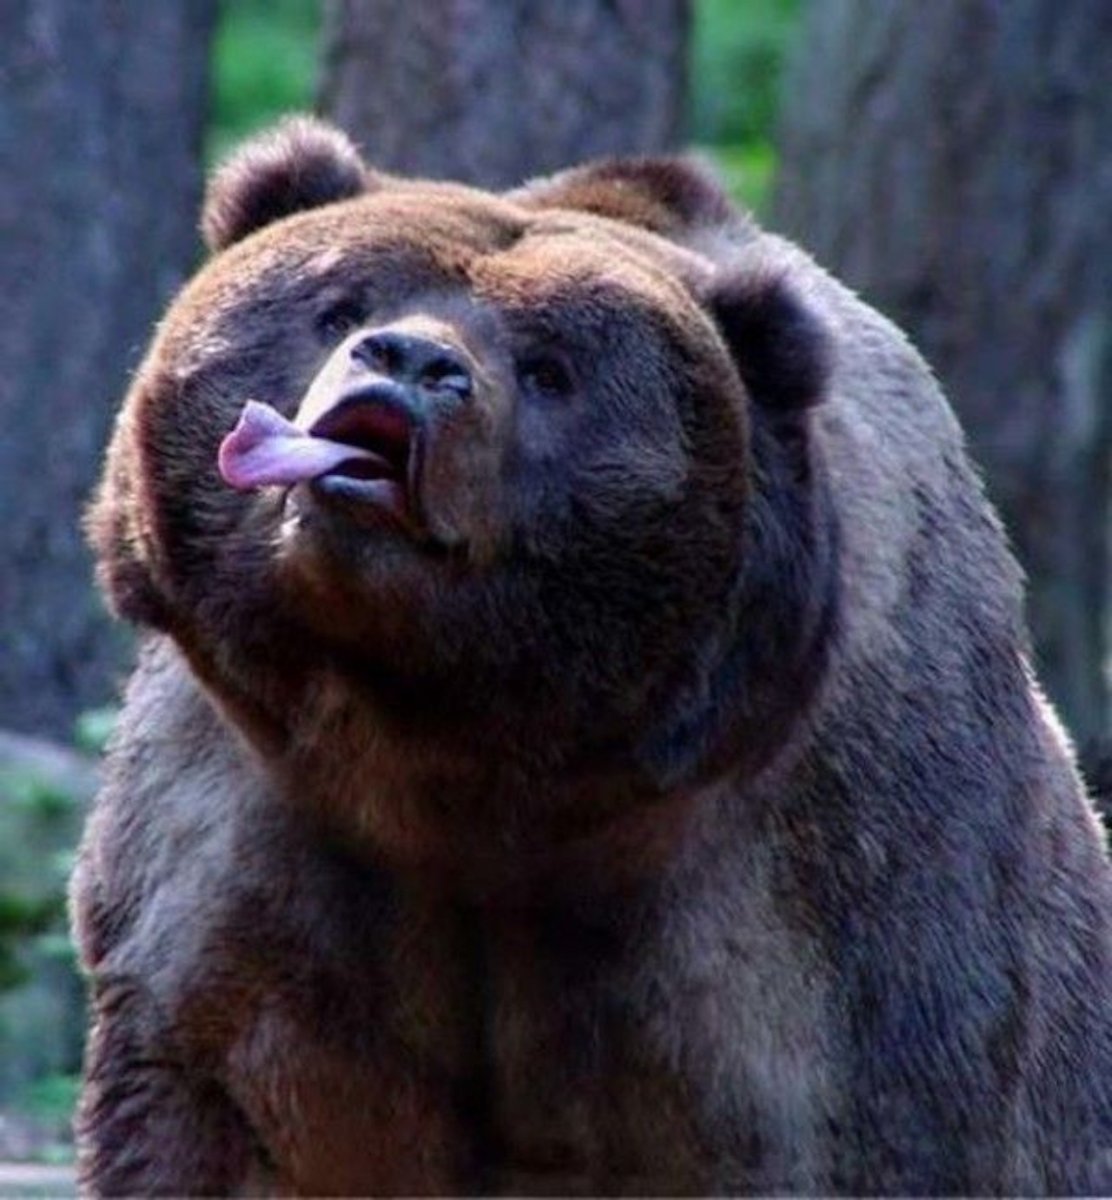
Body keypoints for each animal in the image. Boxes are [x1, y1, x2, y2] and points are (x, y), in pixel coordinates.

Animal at [71, 114, 1112, 1195]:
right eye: (340, 305)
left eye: (549, 369)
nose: (409, 361)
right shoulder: (243, 842)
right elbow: (217, 1099)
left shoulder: (813, 911)